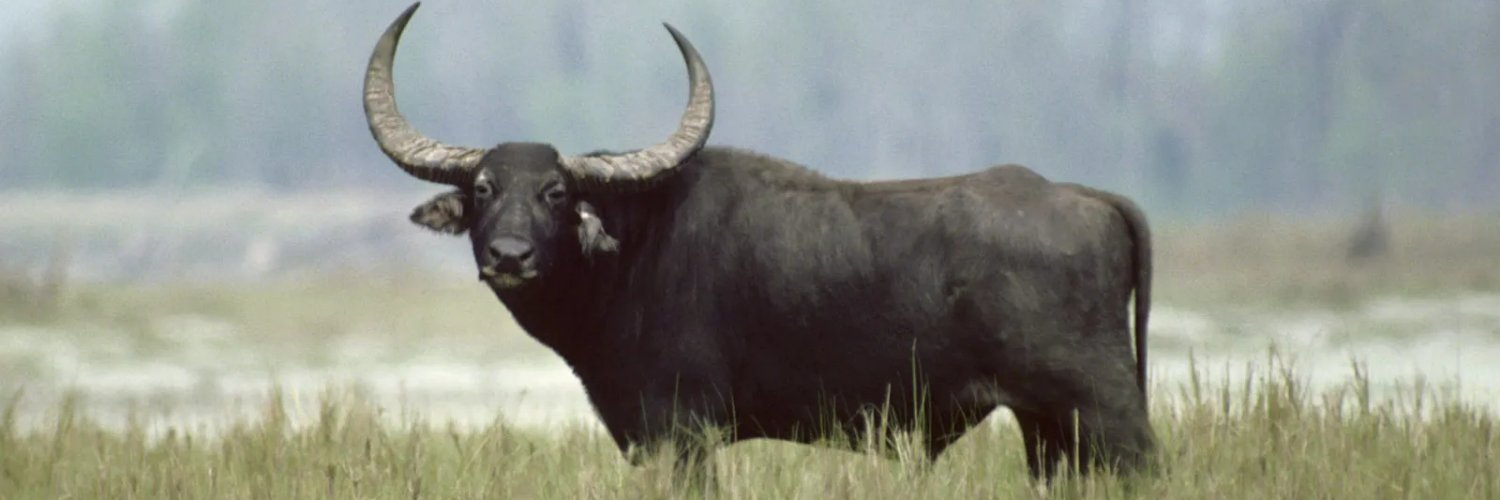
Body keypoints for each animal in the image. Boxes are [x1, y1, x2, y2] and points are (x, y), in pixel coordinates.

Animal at [363, 2, 1154, 482]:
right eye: (484, 189)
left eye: (556, 193)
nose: (510, 257)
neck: (632, 252)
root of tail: (1087, 196)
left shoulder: (681, 434)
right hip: (1046, 429)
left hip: (1105, 413)